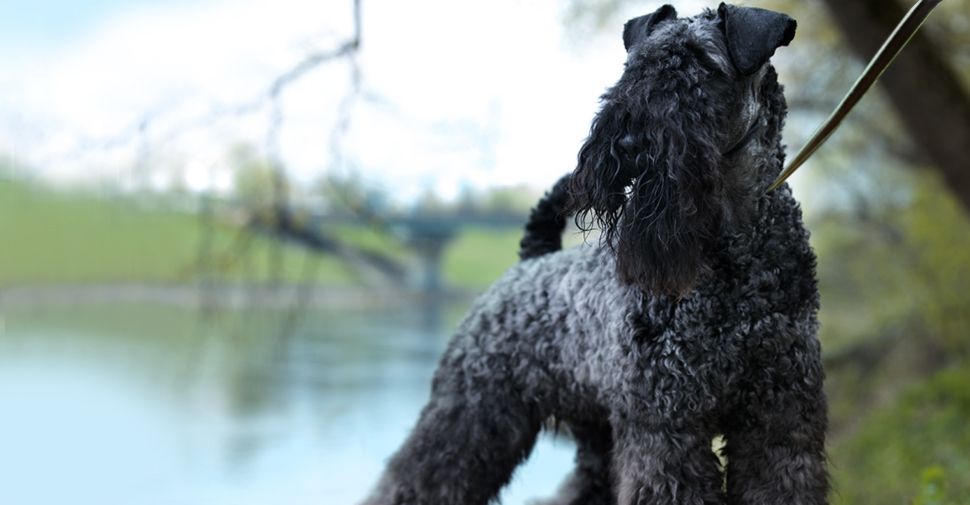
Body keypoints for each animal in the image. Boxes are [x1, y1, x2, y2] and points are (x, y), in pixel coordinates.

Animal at [362, 4, 824, 504]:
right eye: (633, 65)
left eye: (704, 65)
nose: (629, 141)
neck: (733, 252)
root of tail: (527, 264)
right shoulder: (666, 423)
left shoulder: (780, 418)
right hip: (472, 411)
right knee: (422, 473)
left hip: (594, 431)